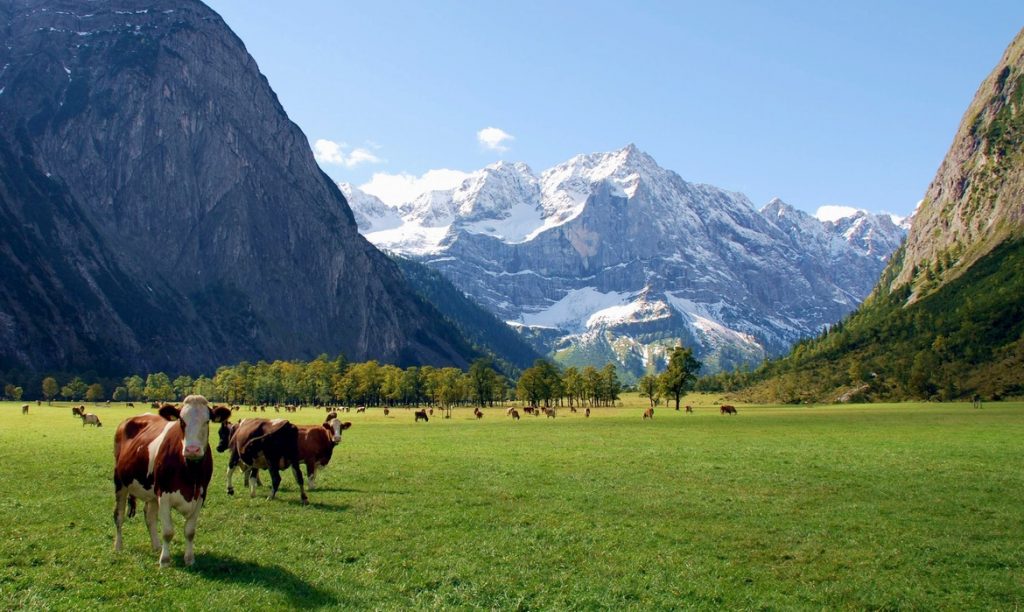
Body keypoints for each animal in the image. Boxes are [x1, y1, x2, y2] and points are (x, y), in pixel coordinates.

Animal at [113, 395, 230, 569]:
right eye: (181, 420)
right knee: (119, 516)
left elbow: (190, 531)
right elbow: (168, 531)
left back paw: (156, 546)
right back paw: (118, 546)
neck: (190, 473)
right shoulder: (164, 495)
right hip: (120, 483)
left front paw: (189, 559)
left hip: (152, 492)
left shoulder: (200, 496)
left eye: (207, 421)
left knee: (150, 517)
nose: (192, 450)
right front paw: (165, 560)